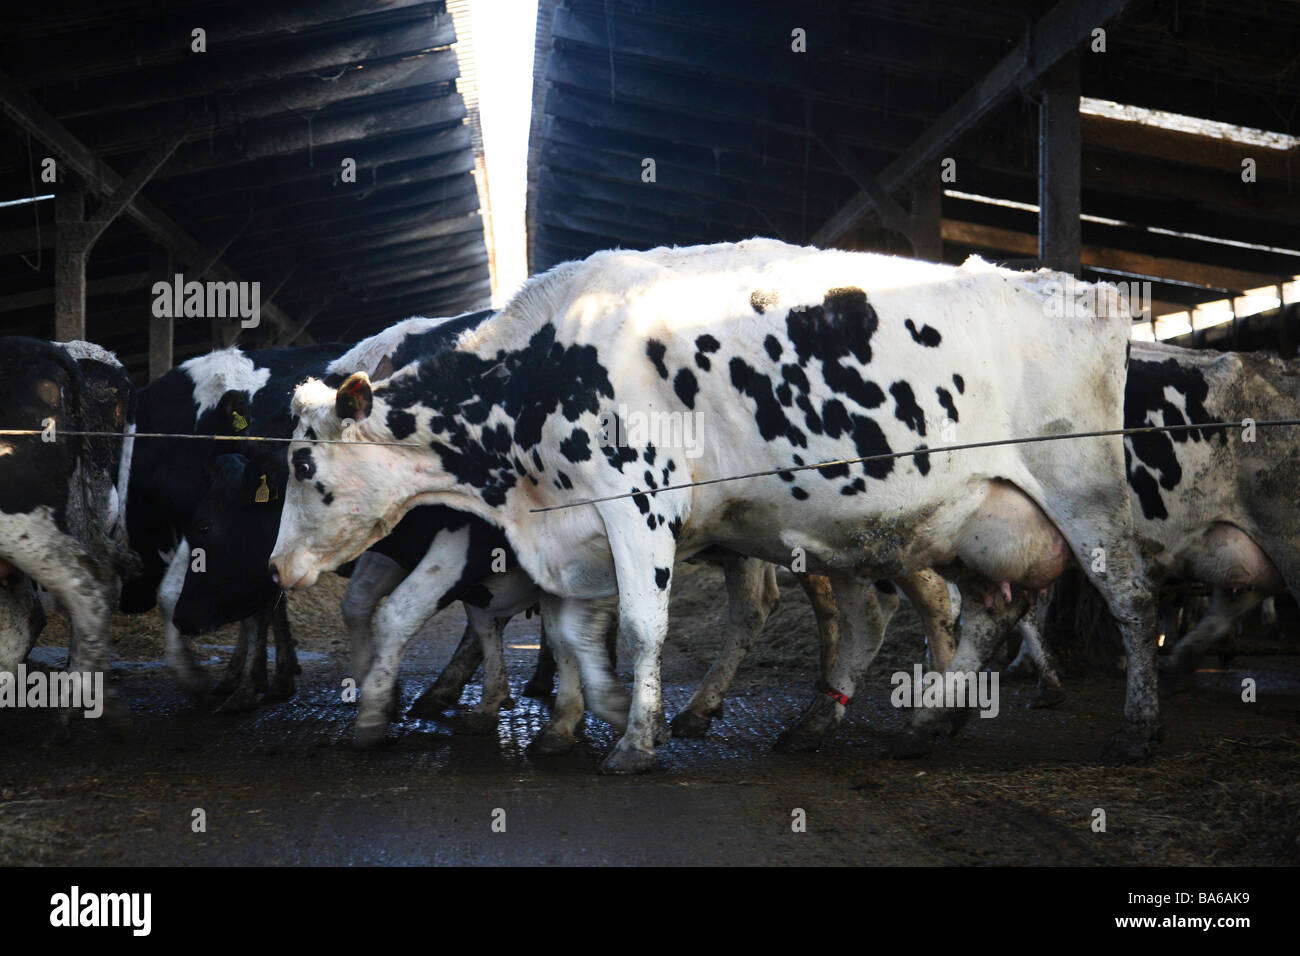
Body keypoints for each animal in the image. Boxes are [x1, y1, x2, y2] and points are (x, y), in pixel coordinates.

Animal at [266, 239, 1159, 770]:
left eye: (304, 463)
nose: (276, 566)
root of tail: (1080, 290)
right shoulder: (569, 533)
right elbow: (569, 629)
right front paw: (591, 715)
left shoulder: (637, 504)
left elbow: (638, 627)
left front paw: (633, 740)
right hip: (959, 521)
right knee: (972, 616)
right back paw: (921, 720)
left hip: (1081, 490)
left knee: (1129, 597)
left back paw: (1135, 726)